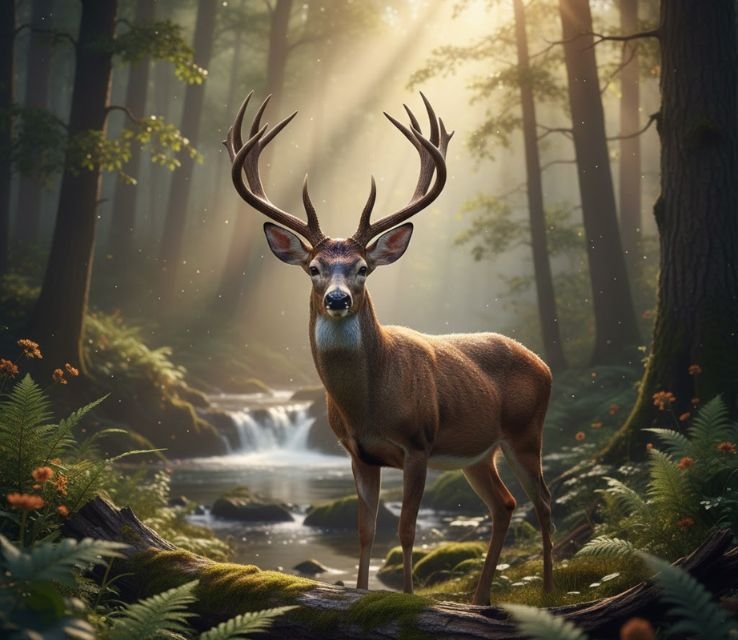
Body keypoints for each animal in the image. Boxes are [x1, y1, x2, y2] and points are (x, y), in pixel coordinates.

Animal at [224, 91, 554, 606]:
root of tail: (542, 363)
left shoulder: (418, 443)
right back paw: (480, 599)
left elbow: (406, 531)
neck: (369, 406)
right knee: (505, 504)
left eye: (363, 268)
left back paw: (549, 595)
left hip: (525, 432)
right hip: (479, 453)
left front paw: (408, 598)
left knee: (543, 503)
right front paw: (360, 594)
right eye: (314, 268)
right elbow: (366, 531)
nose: (338, 299)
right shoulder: (357, 453)